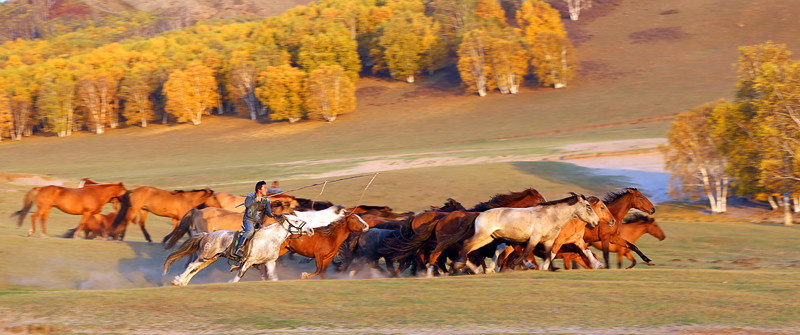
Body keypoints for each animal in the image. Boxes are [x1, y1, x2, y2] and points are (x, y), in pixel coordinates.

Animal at [163, 215, 312, 286]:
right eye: (296, 220)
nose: (311, 230)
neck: (269, 239)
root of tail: (206, 234)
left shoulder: (270, 262)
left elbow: (273, 277)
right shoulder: (250, 260)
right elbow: (241, 273)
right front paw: (231, 282)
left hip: (209, 259)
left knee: (195, 269)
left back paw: (183, 282)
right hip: (204, 255)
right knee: (191, 265)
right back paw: (177, 281)